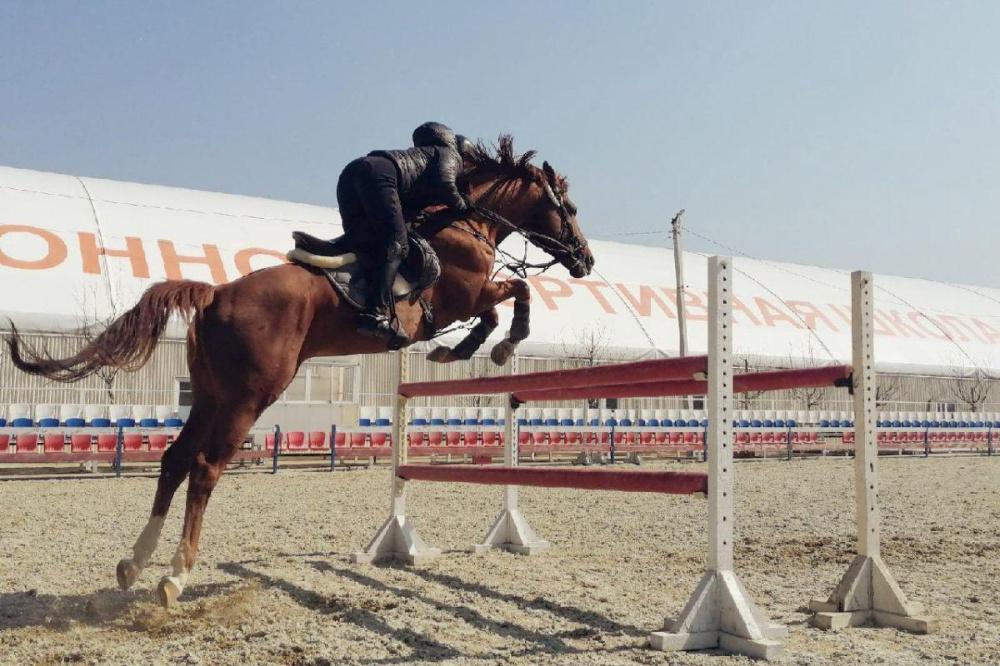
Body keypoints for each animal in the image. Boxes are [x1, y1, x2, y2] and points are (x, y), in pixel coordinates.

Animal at [3, 136, 592, 608]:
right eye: (568, 207)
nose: (585, 260)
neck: (465, 221)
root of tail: (216, 292)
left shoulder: (462, 301)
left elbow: (500, 304)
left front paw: (464, 351)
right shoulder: (462, 295)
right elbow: (515, 293)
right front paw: (494, 347)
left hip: (210, 393)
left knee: (173, 462)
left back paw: (135, 563)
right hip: (250, 396)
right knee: (206, 467)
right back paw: (176, 575)